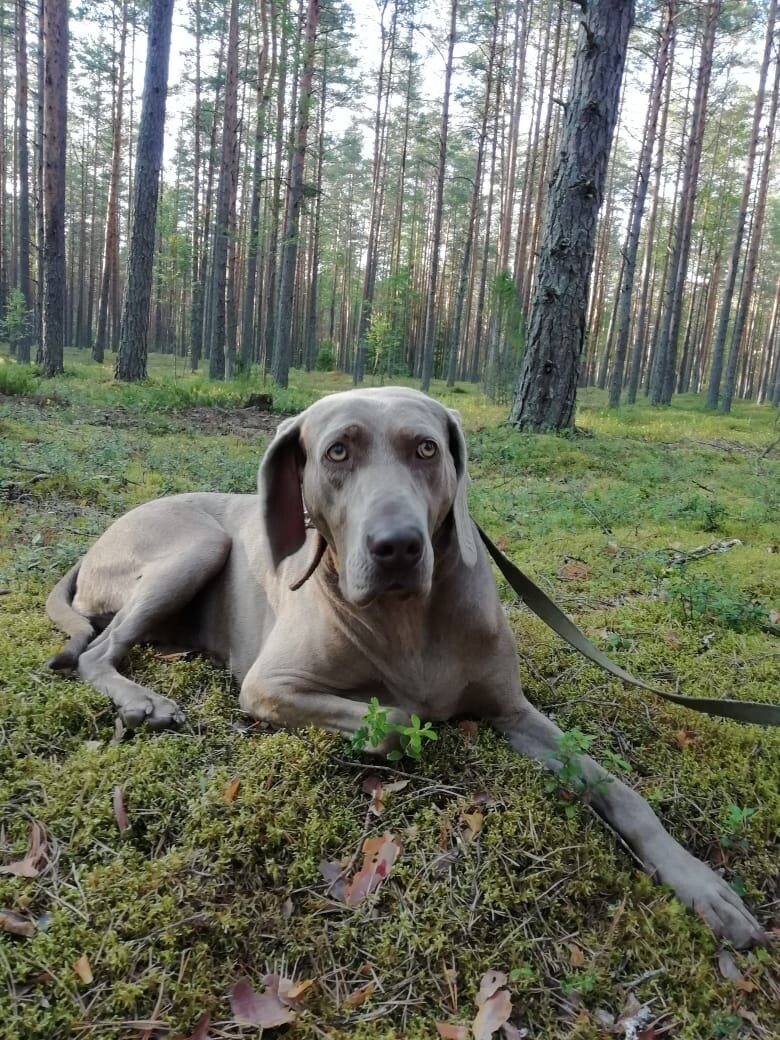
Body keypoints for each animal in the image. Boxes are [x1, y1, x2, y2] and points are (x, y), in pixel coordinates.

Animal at [47, 386, 769, 948]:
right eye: (337, 452)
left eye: (426, 449)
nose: (396, 547)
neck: (407, 618)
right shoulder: (269, 685)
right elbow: (395, 717)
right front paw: (411, 723)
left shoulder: (514, 710)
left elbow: (618, 787)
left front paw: (702, 884)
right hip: (199, 543)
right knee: (97, 651)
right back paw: (142, 700)